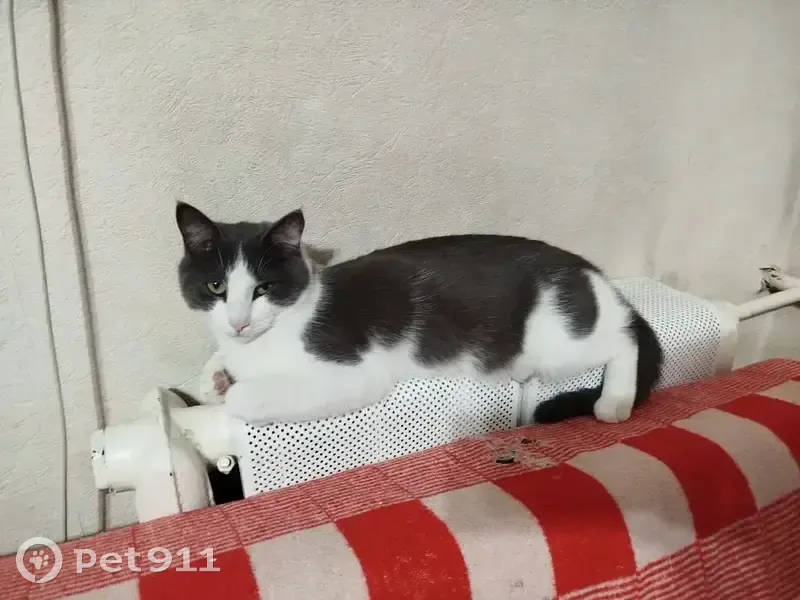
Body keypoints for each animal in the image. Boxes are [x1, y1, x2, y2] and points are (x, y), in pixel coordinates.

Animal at [175, 202, 663, 426]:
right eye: (216, 287)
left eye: (264, 288)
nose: (238, 321)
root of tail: (591, 272)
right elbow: (215, 370)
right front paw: (214, 377)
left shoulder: (352, 371)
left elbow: (245, 397)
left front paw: (234, 391)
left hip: (559, 339)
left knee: (624, 338)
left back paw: (615, 400)